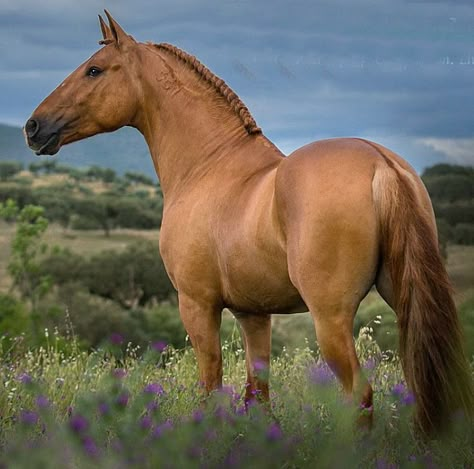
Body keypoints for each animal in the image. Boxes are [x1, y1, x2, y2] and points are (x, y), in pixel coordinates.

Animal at [25, 11, 474, 436]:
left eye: (94, 70)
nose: (33, 127)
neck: (210, 165)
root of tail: (381, 163)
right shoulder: (253, 314)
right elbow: (257, 396)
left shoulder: (197, 305)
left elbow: (211, 386)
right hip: (403, 302)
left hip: (330, 318)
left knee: (359, 394)